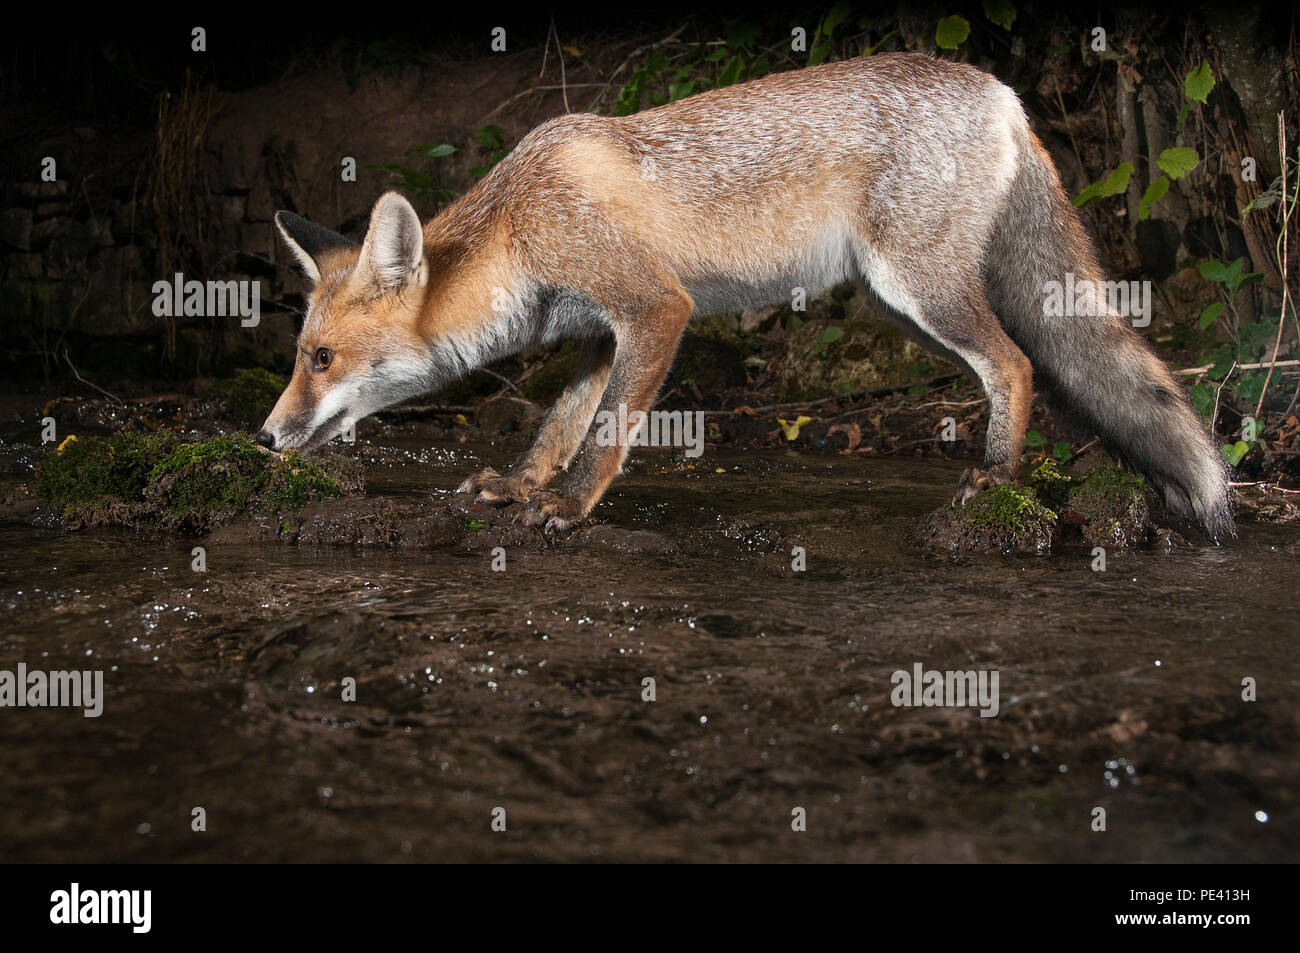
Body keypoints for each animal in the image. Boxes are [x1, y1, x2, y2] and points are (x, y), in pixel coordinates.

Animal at [258, 53, 1232, 535]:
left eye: (321, 358)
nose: (264, 437)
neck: (518, 226)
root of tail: (1003, 92)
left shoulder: (655, 308)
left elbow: (606, 433)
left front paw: (568, 507)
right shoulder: (599, 331)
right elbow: (559, 422)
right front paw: (519, 485)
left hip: (923, 290)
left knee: (1021, 363)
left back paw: (994, 474)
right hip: (902, 308)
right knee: (1030, 362)